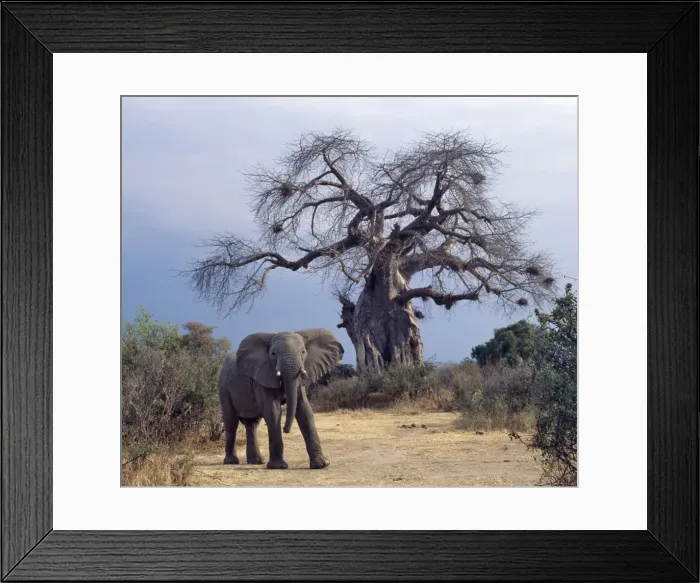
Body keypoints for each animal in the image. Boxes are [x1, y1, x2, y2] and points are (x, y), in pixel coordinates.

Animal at [217, 328, 344, 470]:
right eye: (273, 354)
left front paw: (321, 465)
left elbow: (305, 410)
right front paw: (278, 466)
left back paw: (256, 462)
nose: (285, 430)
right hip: (224, 389)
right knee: (231, 421)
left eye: (303, 352)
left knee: (252, 424)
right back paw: (231, 461)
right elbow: (273, 411)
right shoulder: (262, 376)